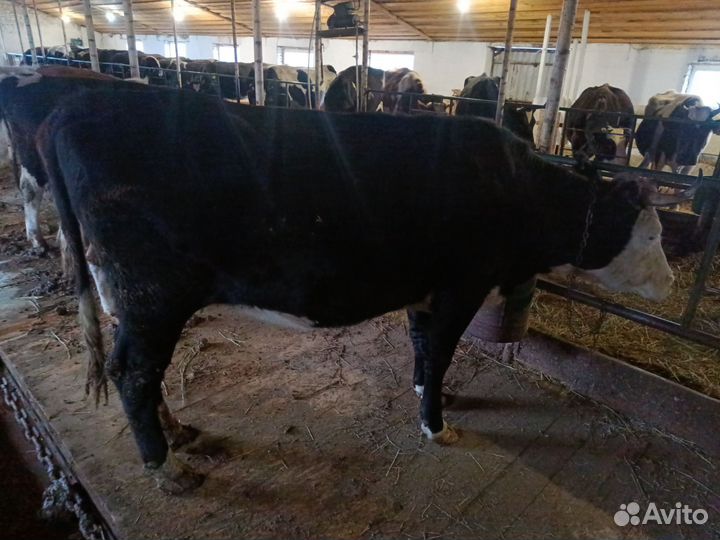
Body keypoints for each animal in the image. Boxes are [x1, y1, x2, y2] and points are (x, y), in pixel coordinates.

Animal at [36, 84, 686, 493]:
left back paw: (176, 434)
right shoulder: (464, 282)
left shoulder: (427, 287)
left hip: (130, 299)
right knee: (133, 374)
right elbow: (442, 349)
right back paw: (165, 468)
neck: (514, 184)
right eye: (654, 236)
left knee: (139, 372)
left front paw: (427, 392)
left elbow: (423, 345)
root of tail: (74, 106)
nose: (673, 281)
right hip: (153, 295)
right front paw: (436, 424)